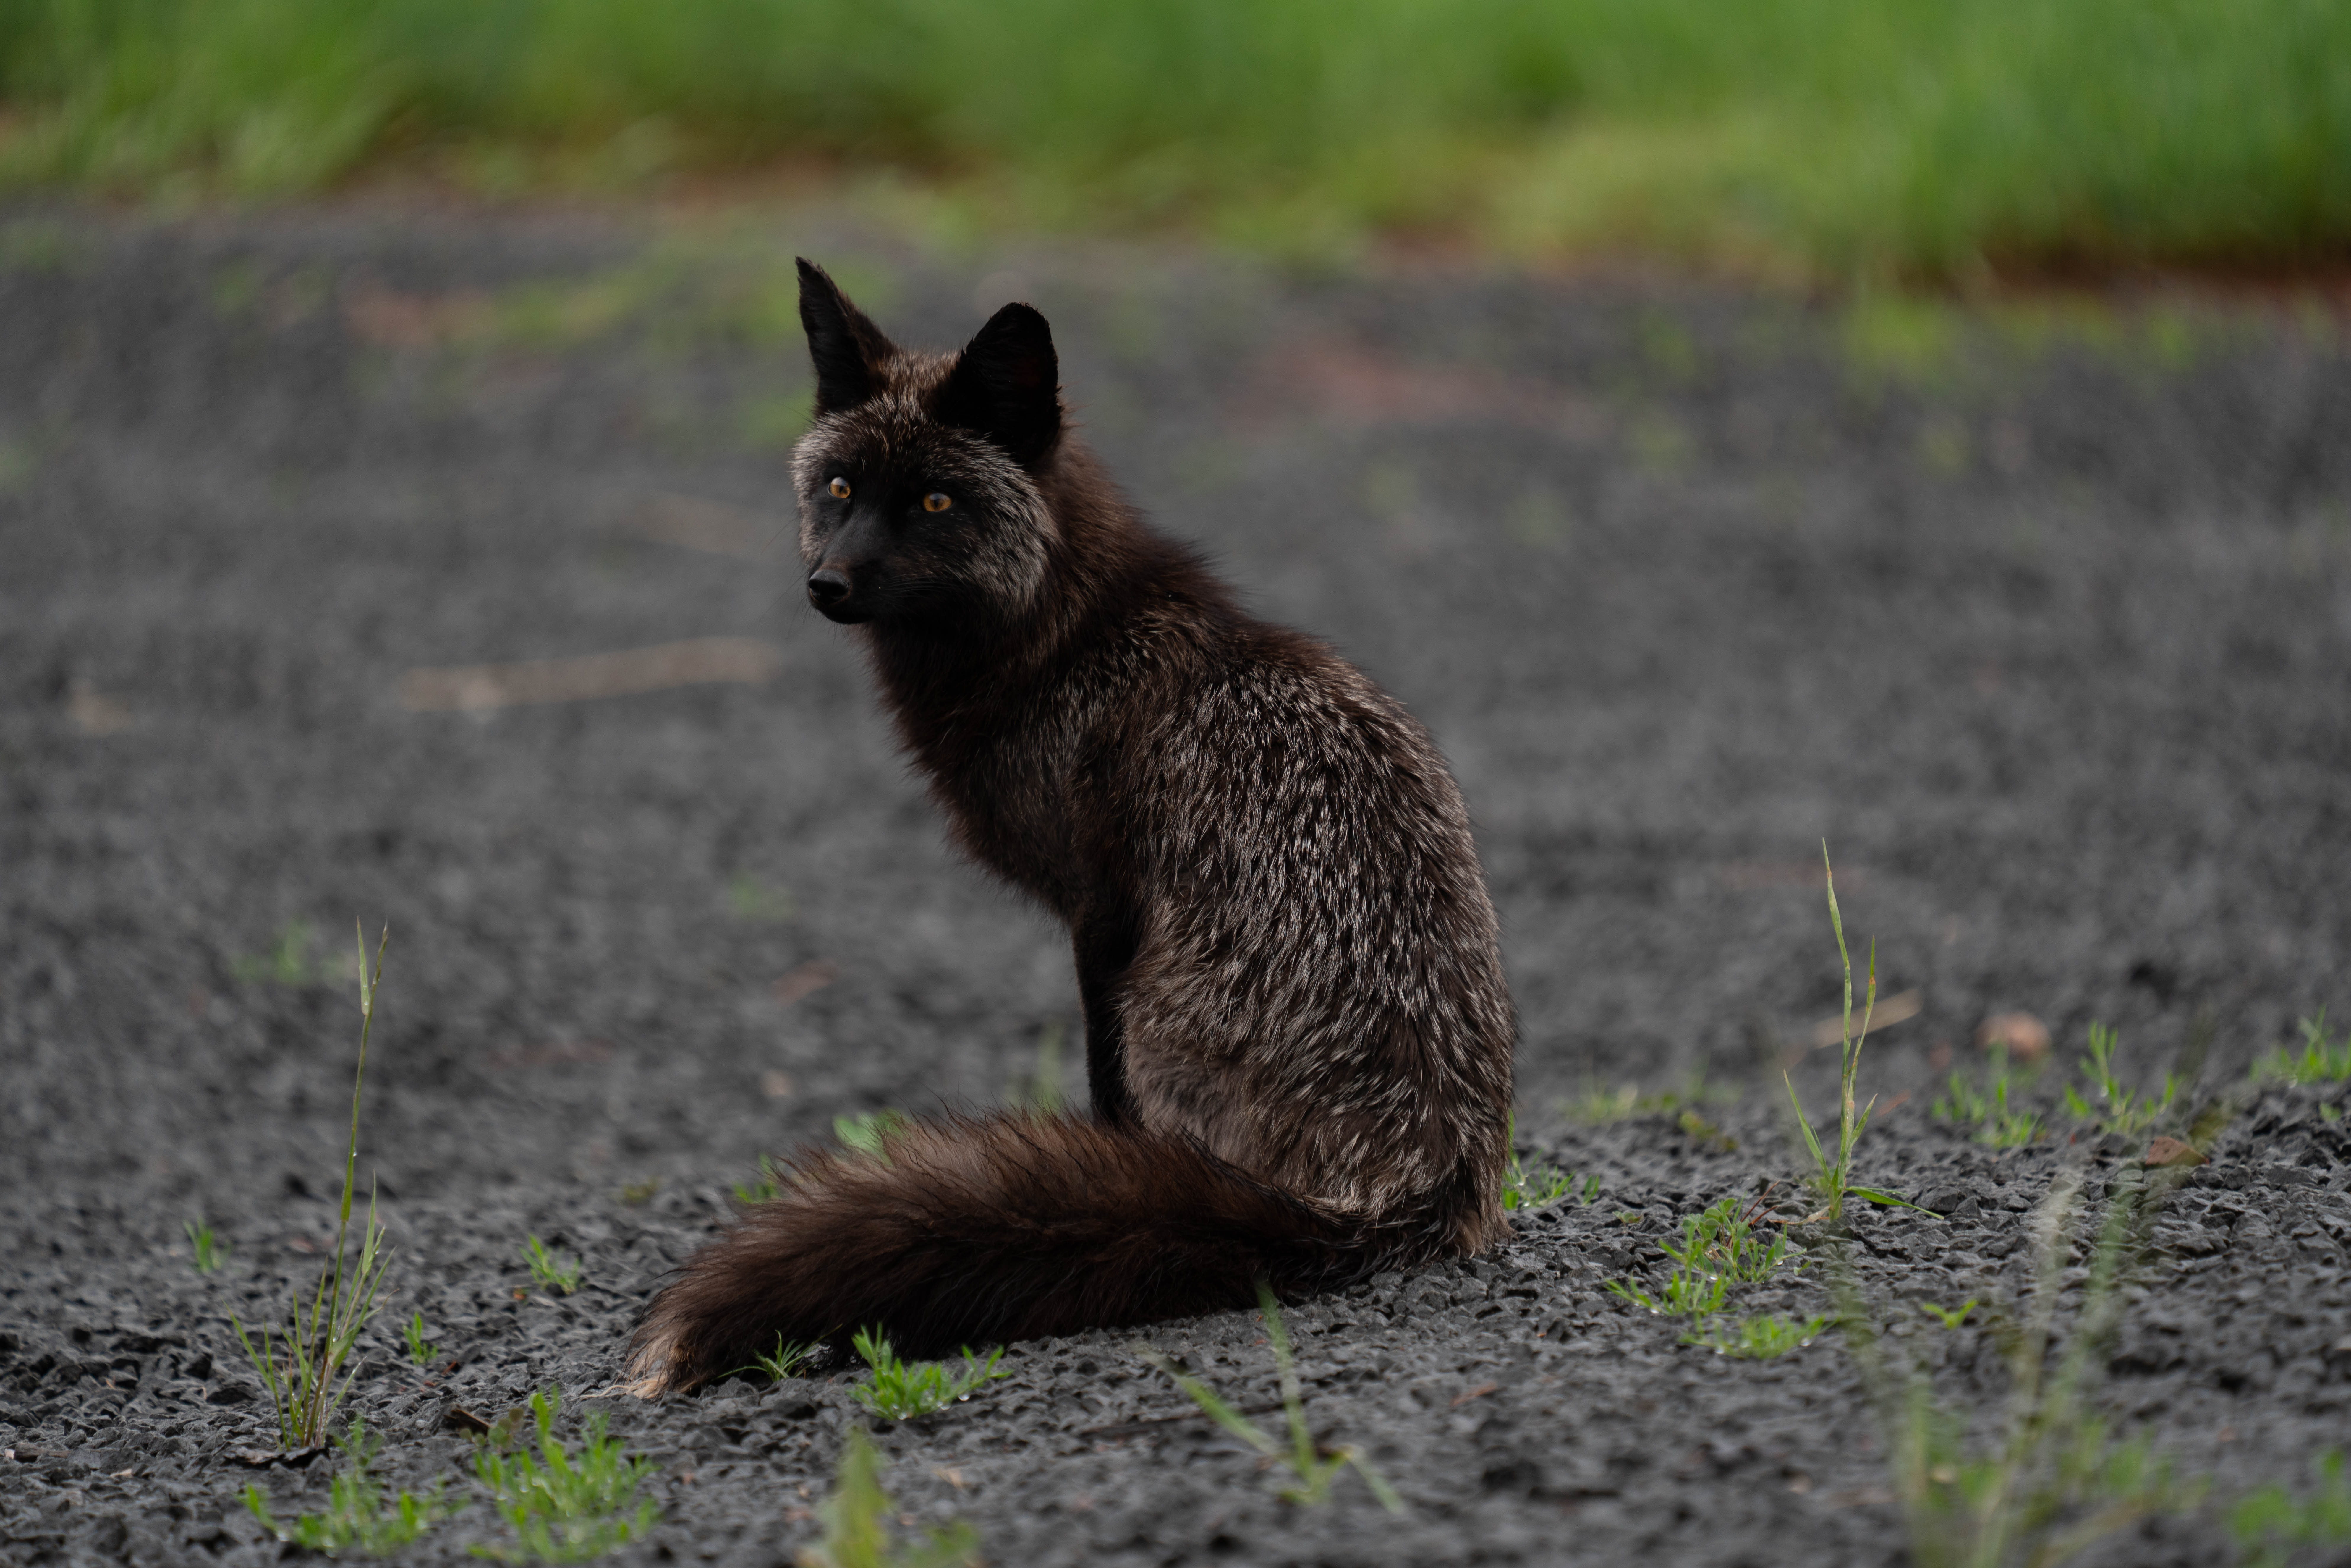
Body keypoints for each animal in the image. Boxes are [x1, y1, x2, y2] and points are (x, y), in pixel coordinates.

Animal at [623, 260, 1516, 1395]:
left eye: (934, 500)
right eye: (839, 490)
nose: (825, 585)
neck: (1064, 644)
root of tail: (1416, 1190)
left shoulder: (1101, 918)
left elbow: (1105, 1105)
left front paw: (1111, 1171)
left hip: (1156, 1014)